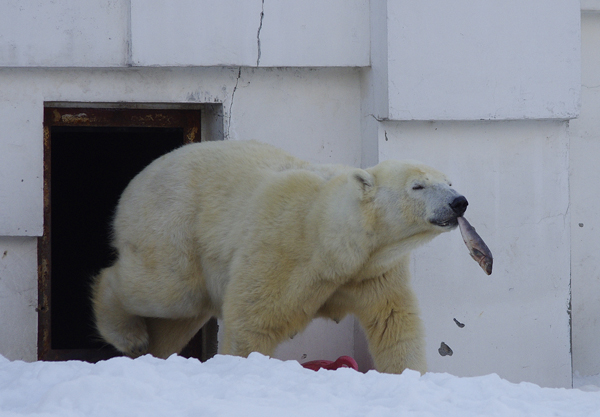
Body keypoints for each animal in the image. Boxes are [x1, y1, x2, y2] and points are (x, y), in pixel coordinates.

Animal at [92, 140, 468, 374]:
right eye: (417, 186)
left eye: (449, 181)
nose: (459, 201)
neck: (333, 240)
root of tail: (139, 179)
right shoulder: (285, 245)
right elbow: (254, 318)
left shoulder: (374, 271)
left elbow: (394, 323)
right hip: (173, 224)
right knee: (167, 290)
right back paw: (129, 335)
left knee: (181, 314)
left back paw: (152, 351)